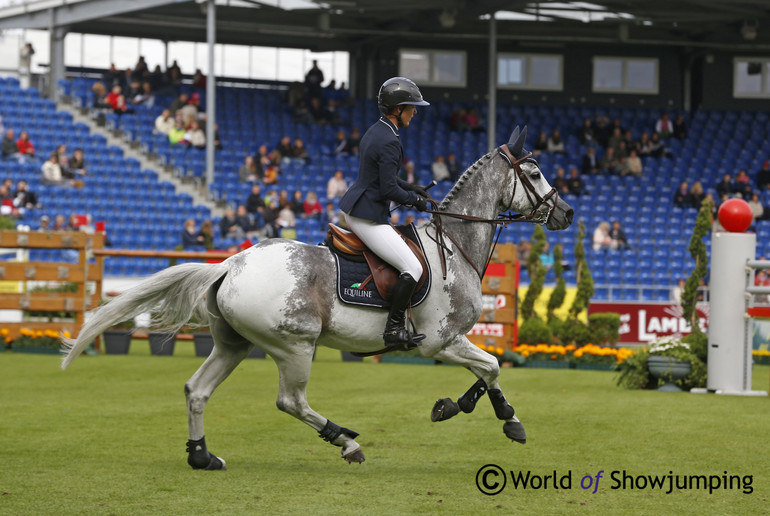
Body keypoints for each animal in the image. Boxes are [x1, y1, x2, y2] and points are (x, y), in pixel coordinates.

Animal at [63, 125, 572, 468]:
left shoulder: (448, 342)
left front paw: (466, 409)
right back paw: (346, 441)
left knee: (197, 390)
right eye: (535, 172)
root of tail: (231, 264)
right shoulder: (437, 341)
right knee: (290, 401)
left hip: (233, 344)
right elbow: (491, 365)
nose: (565, 213)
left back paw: (202, 456)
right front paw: (497, 416)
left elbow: (490, 368)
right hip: (294, 345)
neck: (456, 246)